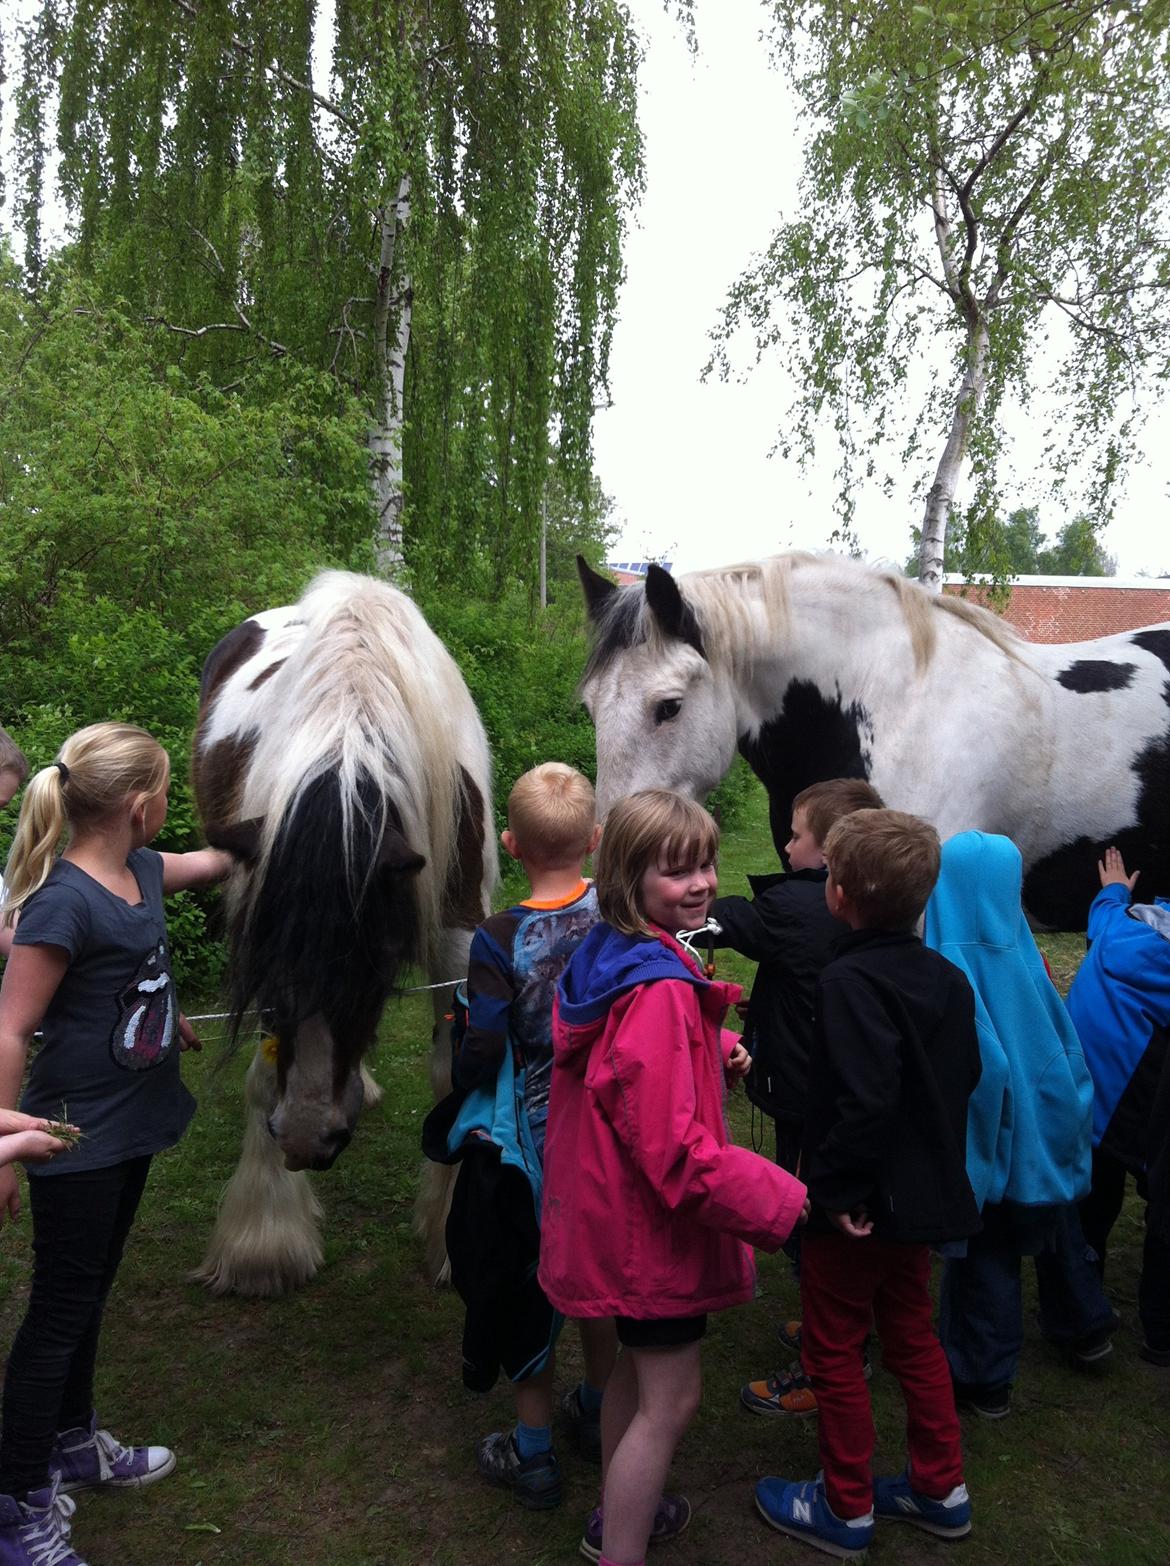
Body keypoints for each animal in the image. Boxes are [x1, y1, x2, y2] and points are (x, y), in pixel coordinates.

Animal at [191, 570, 494, 1290]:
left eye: (377, 959)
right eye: (263, 966)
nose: (308, 1137)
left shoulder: (458, 927)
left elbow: (454, 1075)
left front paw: (452, 1235)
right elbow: (263, 1073)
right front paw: (264, 1241)